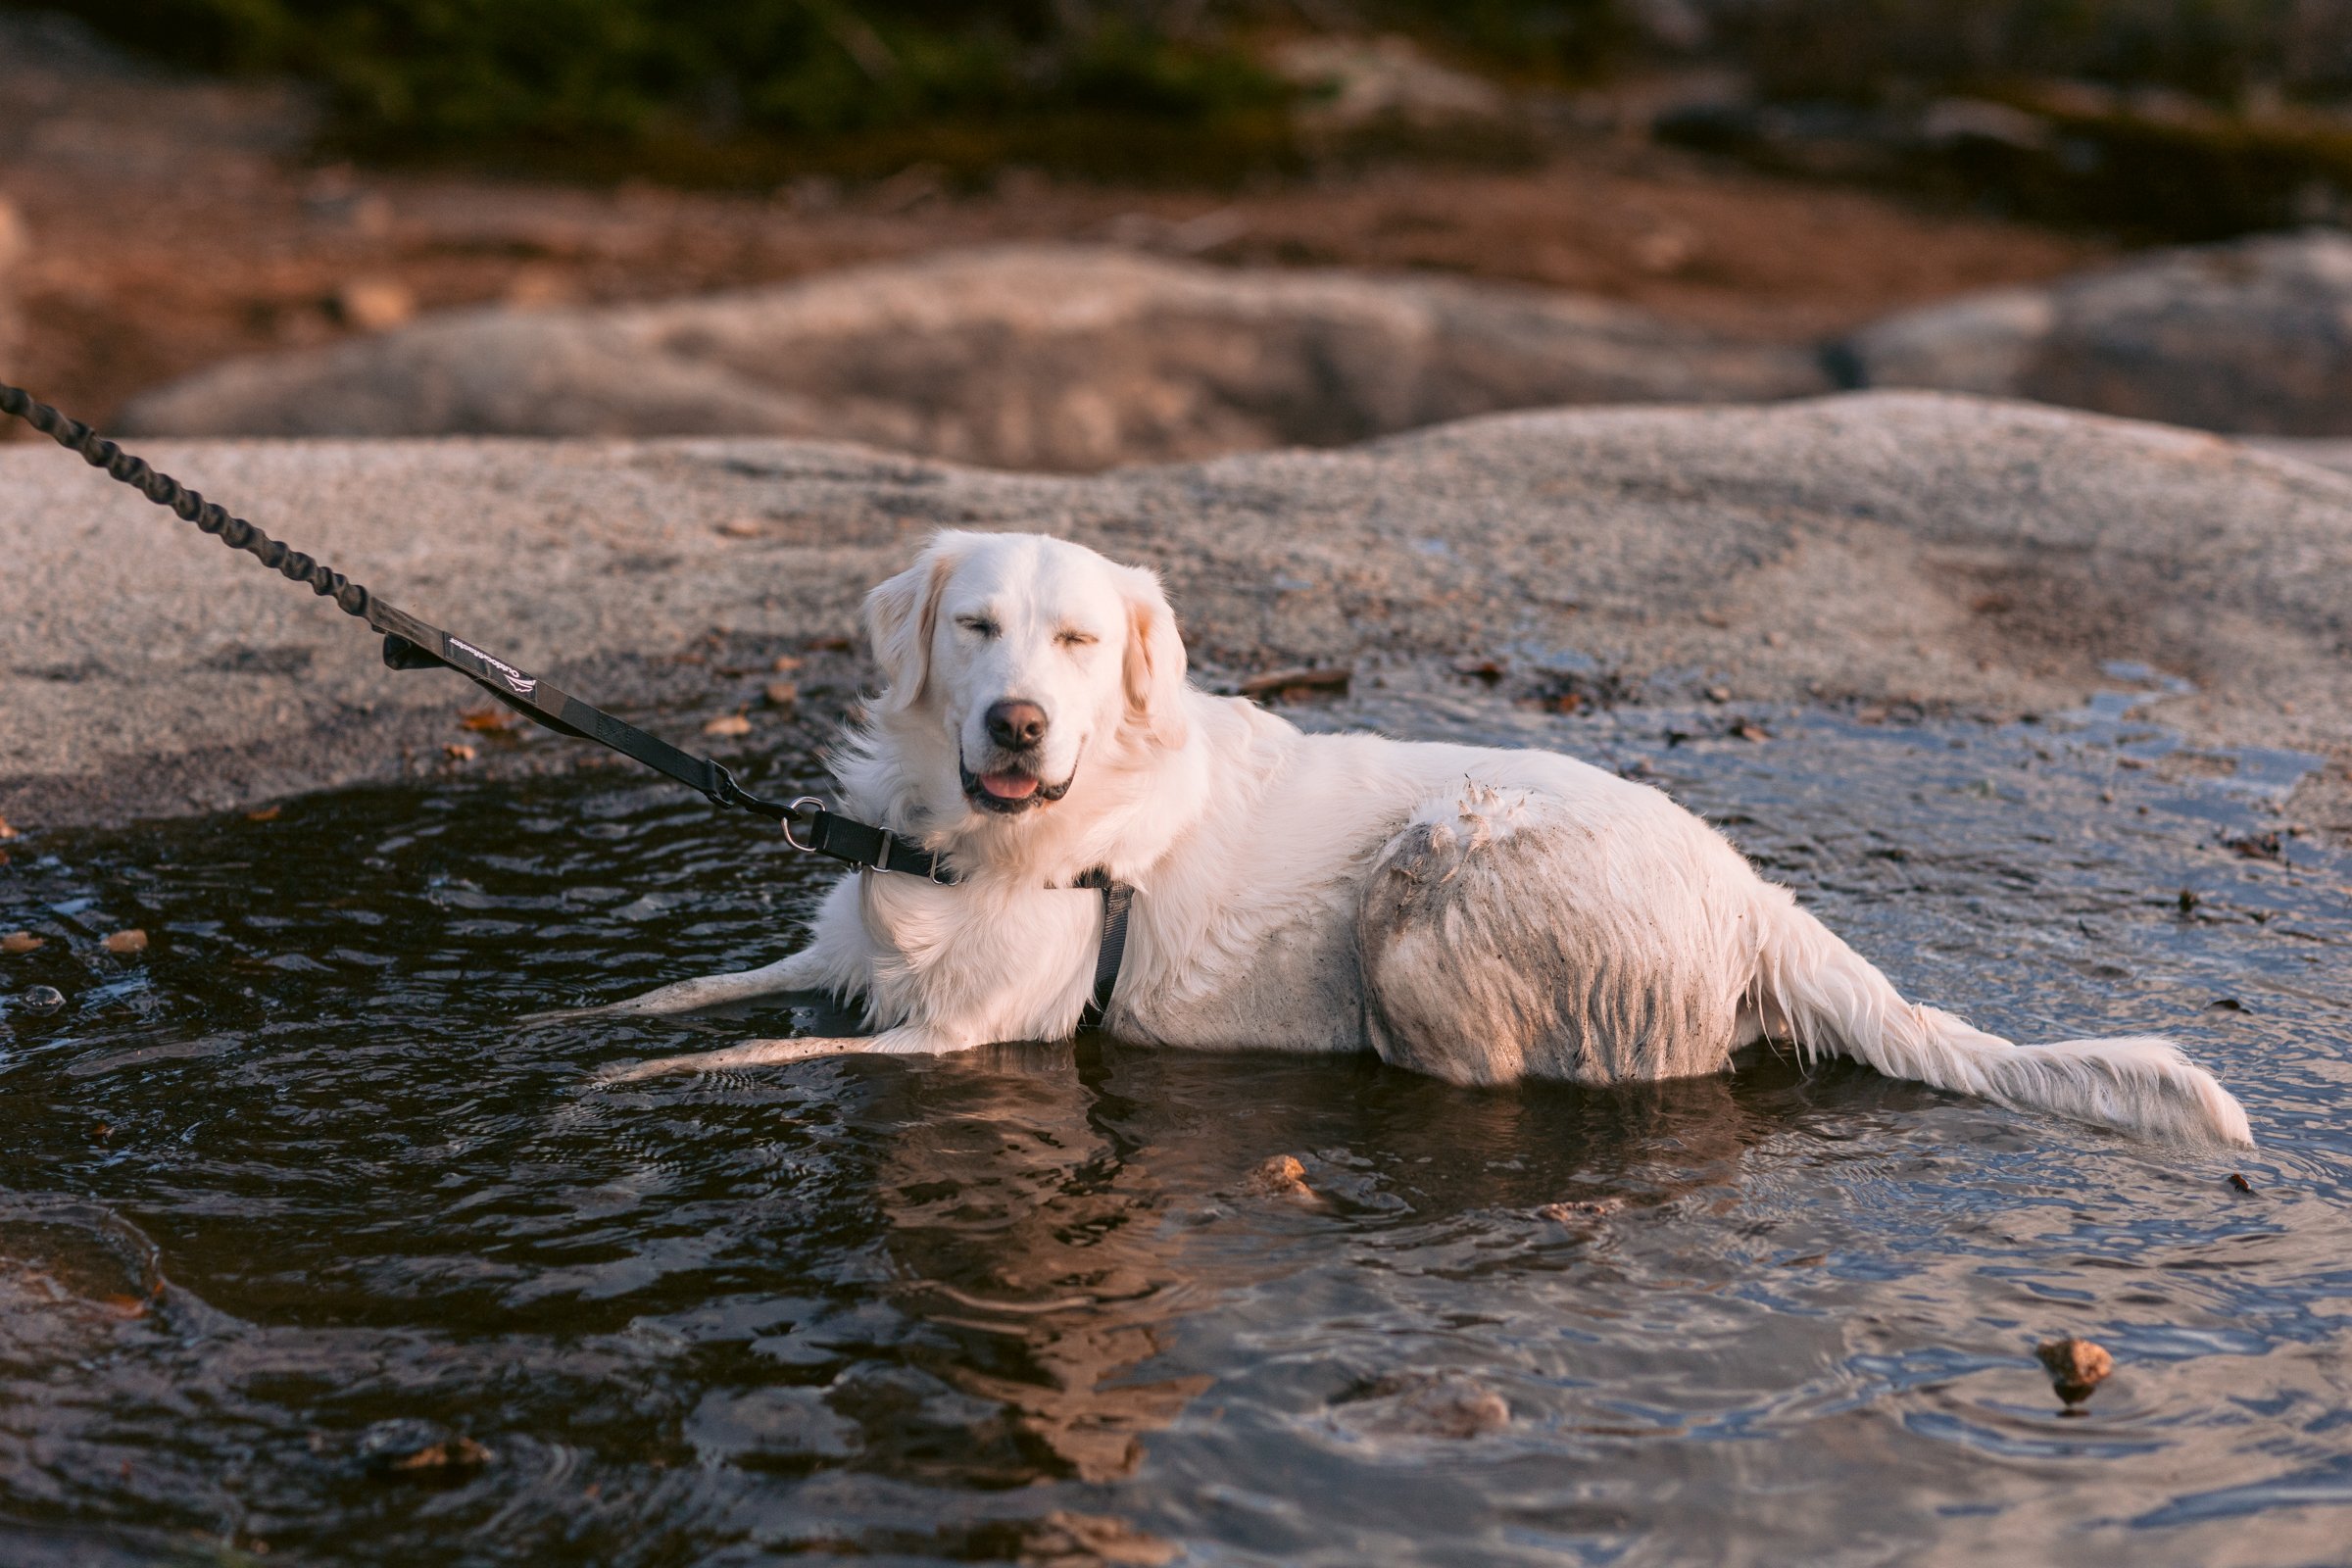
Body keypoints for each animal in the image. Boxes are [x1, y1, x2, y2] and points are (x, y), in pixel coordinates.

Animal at [573, 533, 2258, 1147]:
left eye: (1078, 642)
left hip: (1437, 875)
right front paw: (564, 1027)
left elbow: (738, 1052)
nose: (1019, 728)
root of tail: (1749, 891)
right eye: (978, 629)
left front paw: (606, 1087)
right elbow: (690, 998)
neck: (964, 840)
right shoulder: (843, 948)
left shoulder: (968, 1040)